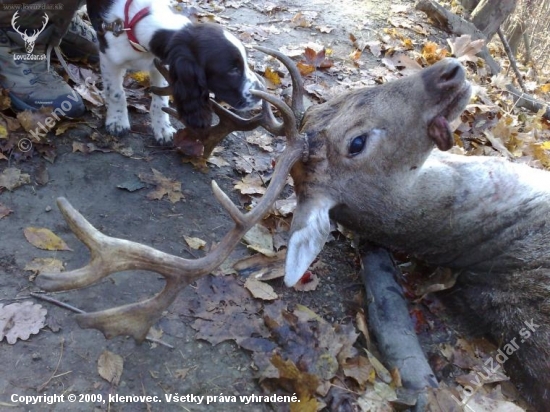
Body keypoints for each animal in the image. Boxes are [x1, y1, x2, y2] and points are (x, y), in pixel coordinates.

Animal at [88, 0, 264, 143]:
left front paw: (163, 128)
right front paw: (117, 121)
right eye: (233, 70)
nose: (262, 91)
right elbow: (116, 93)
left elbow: (160, 99)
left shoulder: (160, 64)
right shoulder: (109, 58)